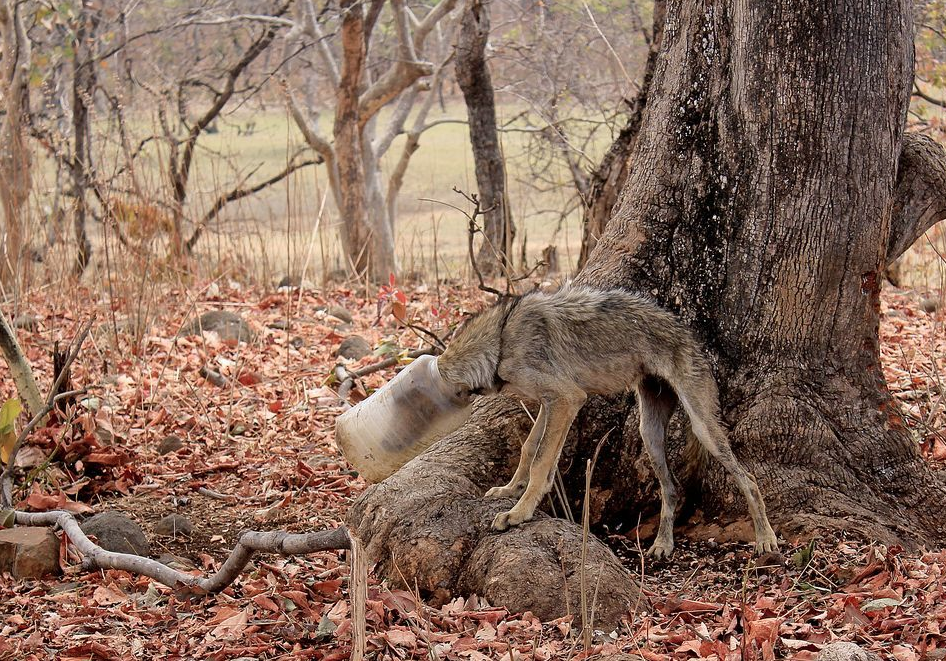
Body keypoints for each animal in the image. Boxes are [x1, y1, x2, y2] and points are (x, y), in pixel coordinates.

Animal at [436, 284, 776, 556]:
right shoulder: (550, 403)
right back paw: (663, 544)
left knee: (749, 479)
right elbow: (529, 448)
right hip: (649, 434)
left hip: (703, 429)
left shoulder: (567, 398)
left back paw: (765, 539)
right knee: (672, 488)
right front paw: (510, 490)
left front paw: (519, 513)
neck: (501, 339)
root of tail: (691, 337)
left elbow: (541, 462)